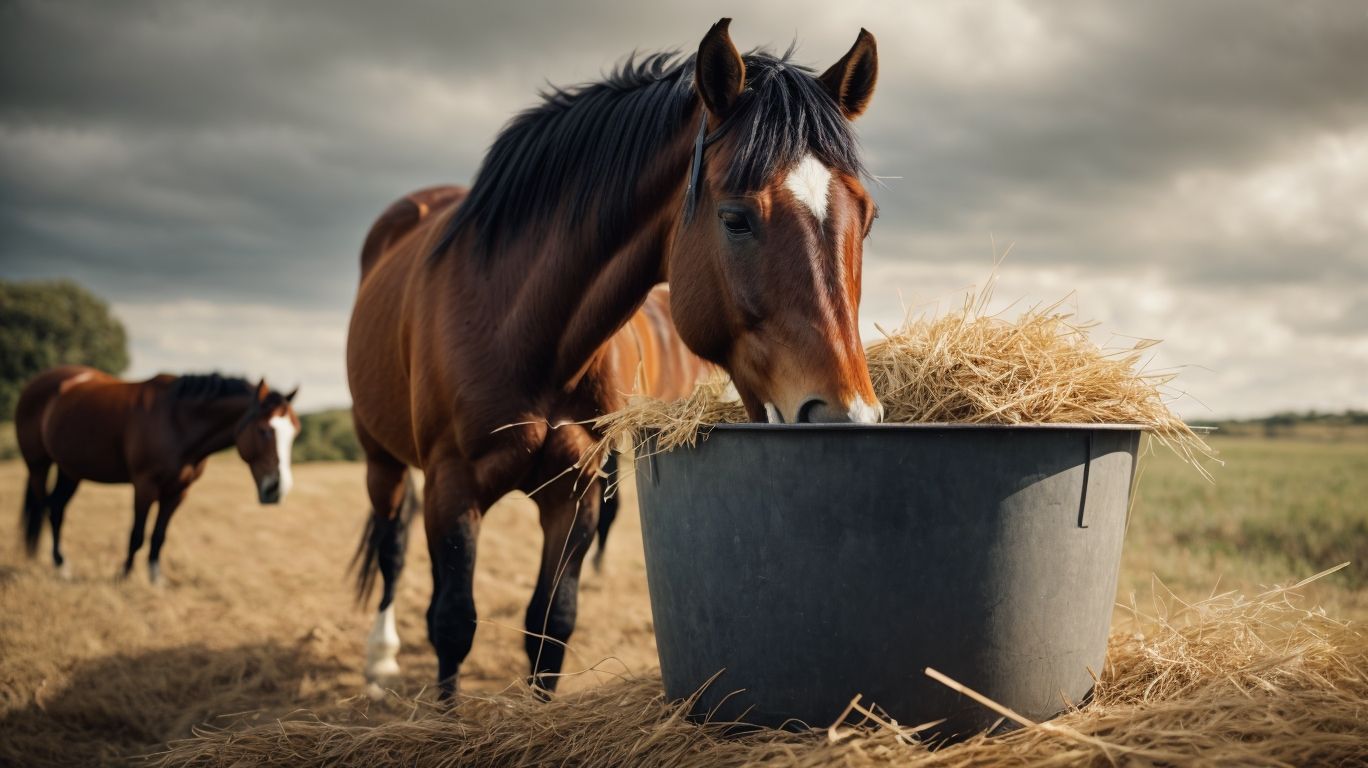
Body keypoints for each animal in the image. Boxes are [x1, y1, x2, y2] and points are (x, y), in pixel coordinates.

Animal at [14, 366, 301, 584]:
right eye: (264, 430)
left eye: (294, 432)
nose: (278, 489)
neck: (178, 422)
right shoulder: (145, 485)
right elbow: (138, 534)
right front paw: (125, 576)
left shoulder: (179, 491)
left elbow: (159, 536)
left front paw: (156, 579)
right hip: (38, 465)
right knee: (46, 507)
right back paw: (57, 563)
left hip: (70, 471)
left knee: (57, 509)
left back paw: (61, 564)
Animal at [346, 18, 882, 699]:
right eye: (736, 219)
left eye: (867, 219)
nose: (846, 417)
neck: (526, 331)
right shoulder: (453, 485)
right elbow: (453, 624)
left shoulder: (576, 488)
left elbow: (550, 625)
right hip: (382, 461)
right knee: (392, 552)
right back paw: (379, 660)